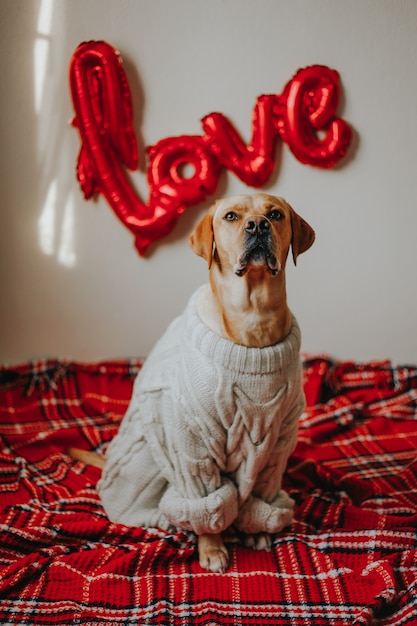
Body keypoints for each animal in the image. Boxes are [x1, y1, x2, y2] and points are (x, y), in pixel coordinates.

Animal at [70, 194, 314, 572]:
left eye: (275, 214)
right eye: (231, 216)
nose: (258, 226)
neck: (253, 323)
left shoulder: (277, 440)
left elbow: (261, 488)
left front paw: (257, 530)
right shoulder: (192, 445)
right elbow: (208, 505)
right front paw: (212, 548)